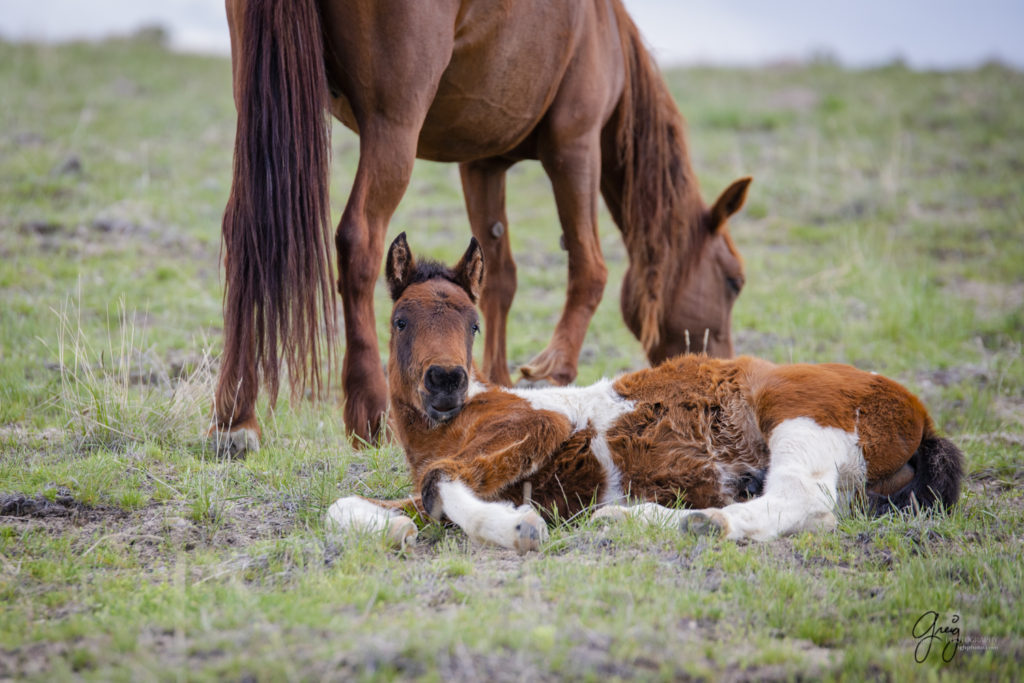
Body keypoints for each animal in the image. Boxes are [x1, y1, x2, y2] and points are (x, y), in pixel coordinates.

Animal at [325, 235, 958, 548]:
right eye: (401, 321)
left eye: (473, 324)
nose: (446, 380)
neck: (460, 417)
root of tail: (920, 413)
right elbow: (353, 505)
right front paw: (400, 527)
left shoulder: (534, 426)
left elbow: (440, 481)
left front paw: (519, 528)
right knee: (820, 513)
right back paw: (630, 519)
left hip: (803, 420)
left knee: (801, 498)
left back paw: (700, 524)